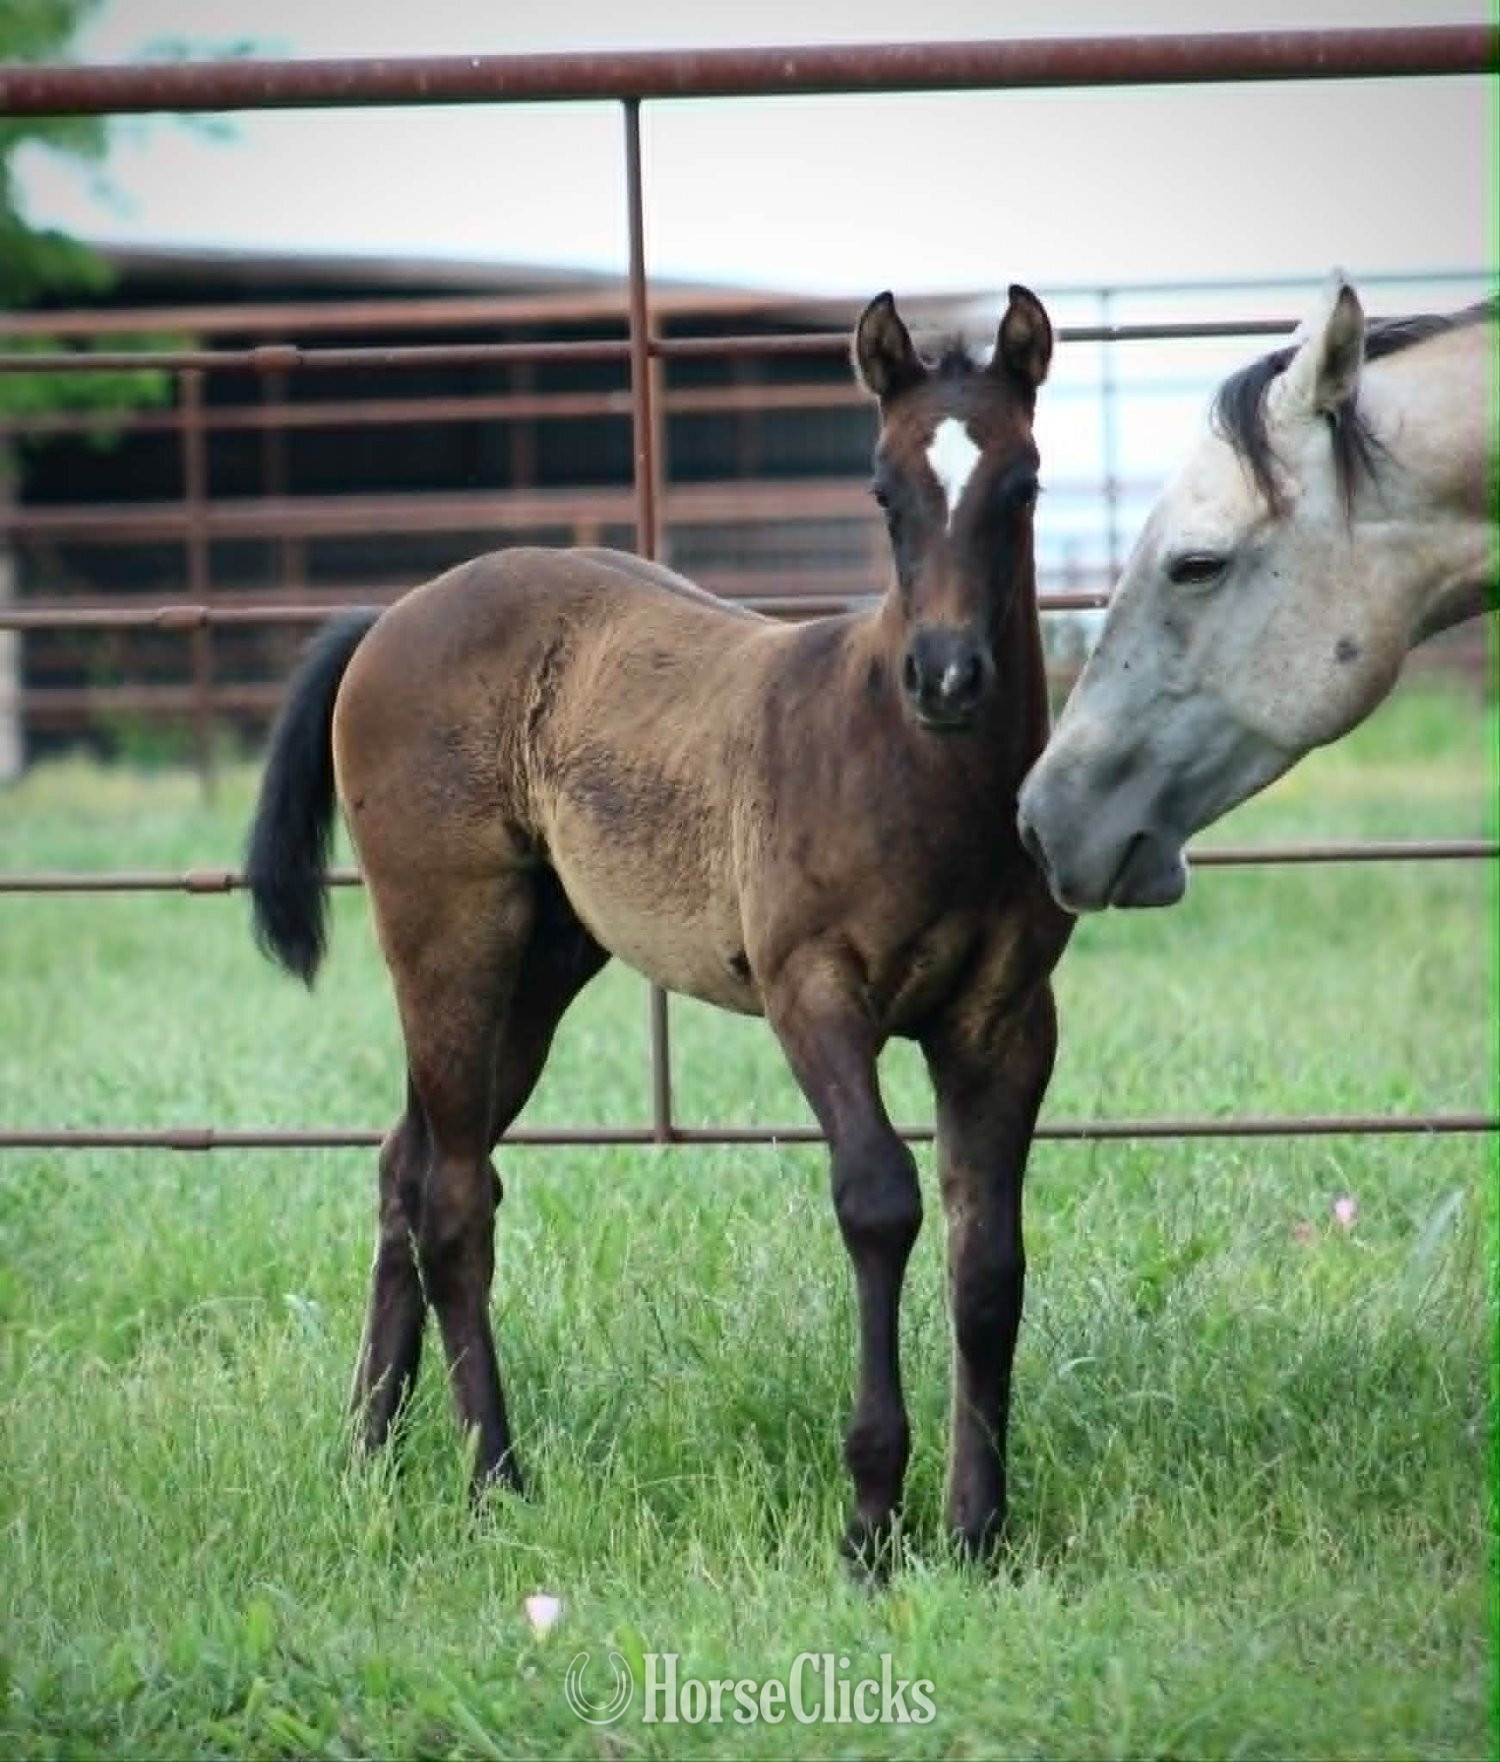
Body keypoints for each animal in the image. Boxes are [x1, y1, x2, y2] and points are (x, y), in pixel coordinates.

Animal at [246, 285, 1072, 1567]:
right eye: (883, 491)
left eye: (1023, 483)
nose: (947, 675)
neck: (912, 772)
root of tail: (392, 616)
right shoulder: (812, 993)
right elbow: (879, 1201)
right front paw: (869, 1521)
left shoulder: (1005, 1022)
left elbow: (988, 1259)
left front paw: (979, 1530)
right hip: (450, 935)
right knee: (452, 1197)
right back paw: (496, 1478)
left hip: (540, 965)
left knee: (408, 1164)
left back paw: (368, 1455)